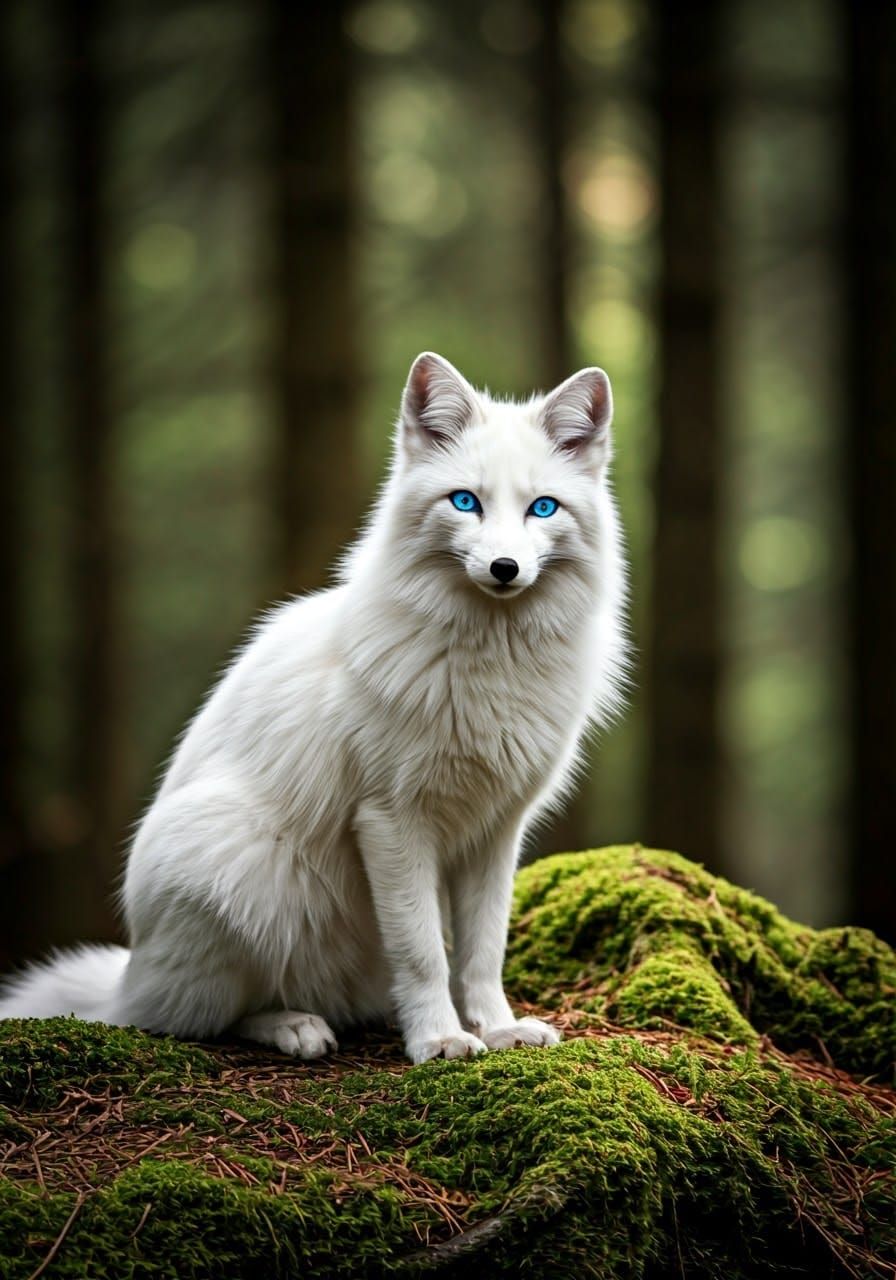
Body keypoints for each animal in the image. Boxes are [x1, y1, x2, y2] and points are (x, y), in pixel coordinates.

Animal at [0, 352, 628, 1064]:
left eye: (541, 508)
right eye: (465, 501)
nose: (503, 567)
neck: (489, 666)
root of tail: (130, 974)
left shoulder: (497, 829)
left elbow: (481, 952)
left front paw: (496, 1028)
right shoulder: (390, 819)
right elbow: (423, 953)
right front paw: (439, 1039)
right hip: (234, 867)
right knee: (190, 1020)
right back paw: (292, 1025)